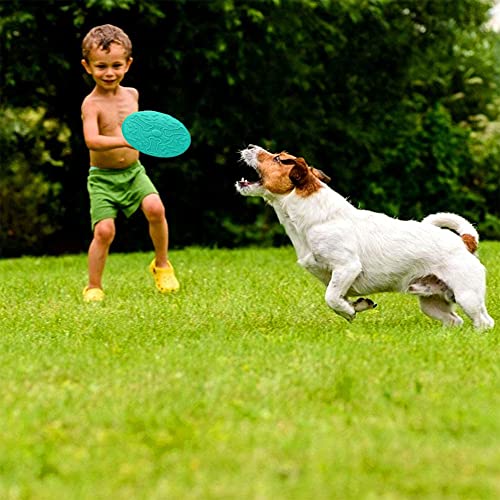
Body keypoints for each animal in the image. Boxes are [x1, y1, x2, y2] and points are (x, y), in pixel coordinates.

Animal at [236, 144, 494, 332]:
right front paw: (358, 305)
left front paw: (349, 311)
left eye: (279, 159)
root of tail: (466, 242)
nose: (249, 145)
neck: (314, 217)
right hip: (431, 302)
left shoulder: (347, 267)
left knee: (484, 321)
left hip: (467, 295)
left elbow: (331, 298)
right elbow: (339, 297)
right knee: (454, 320)